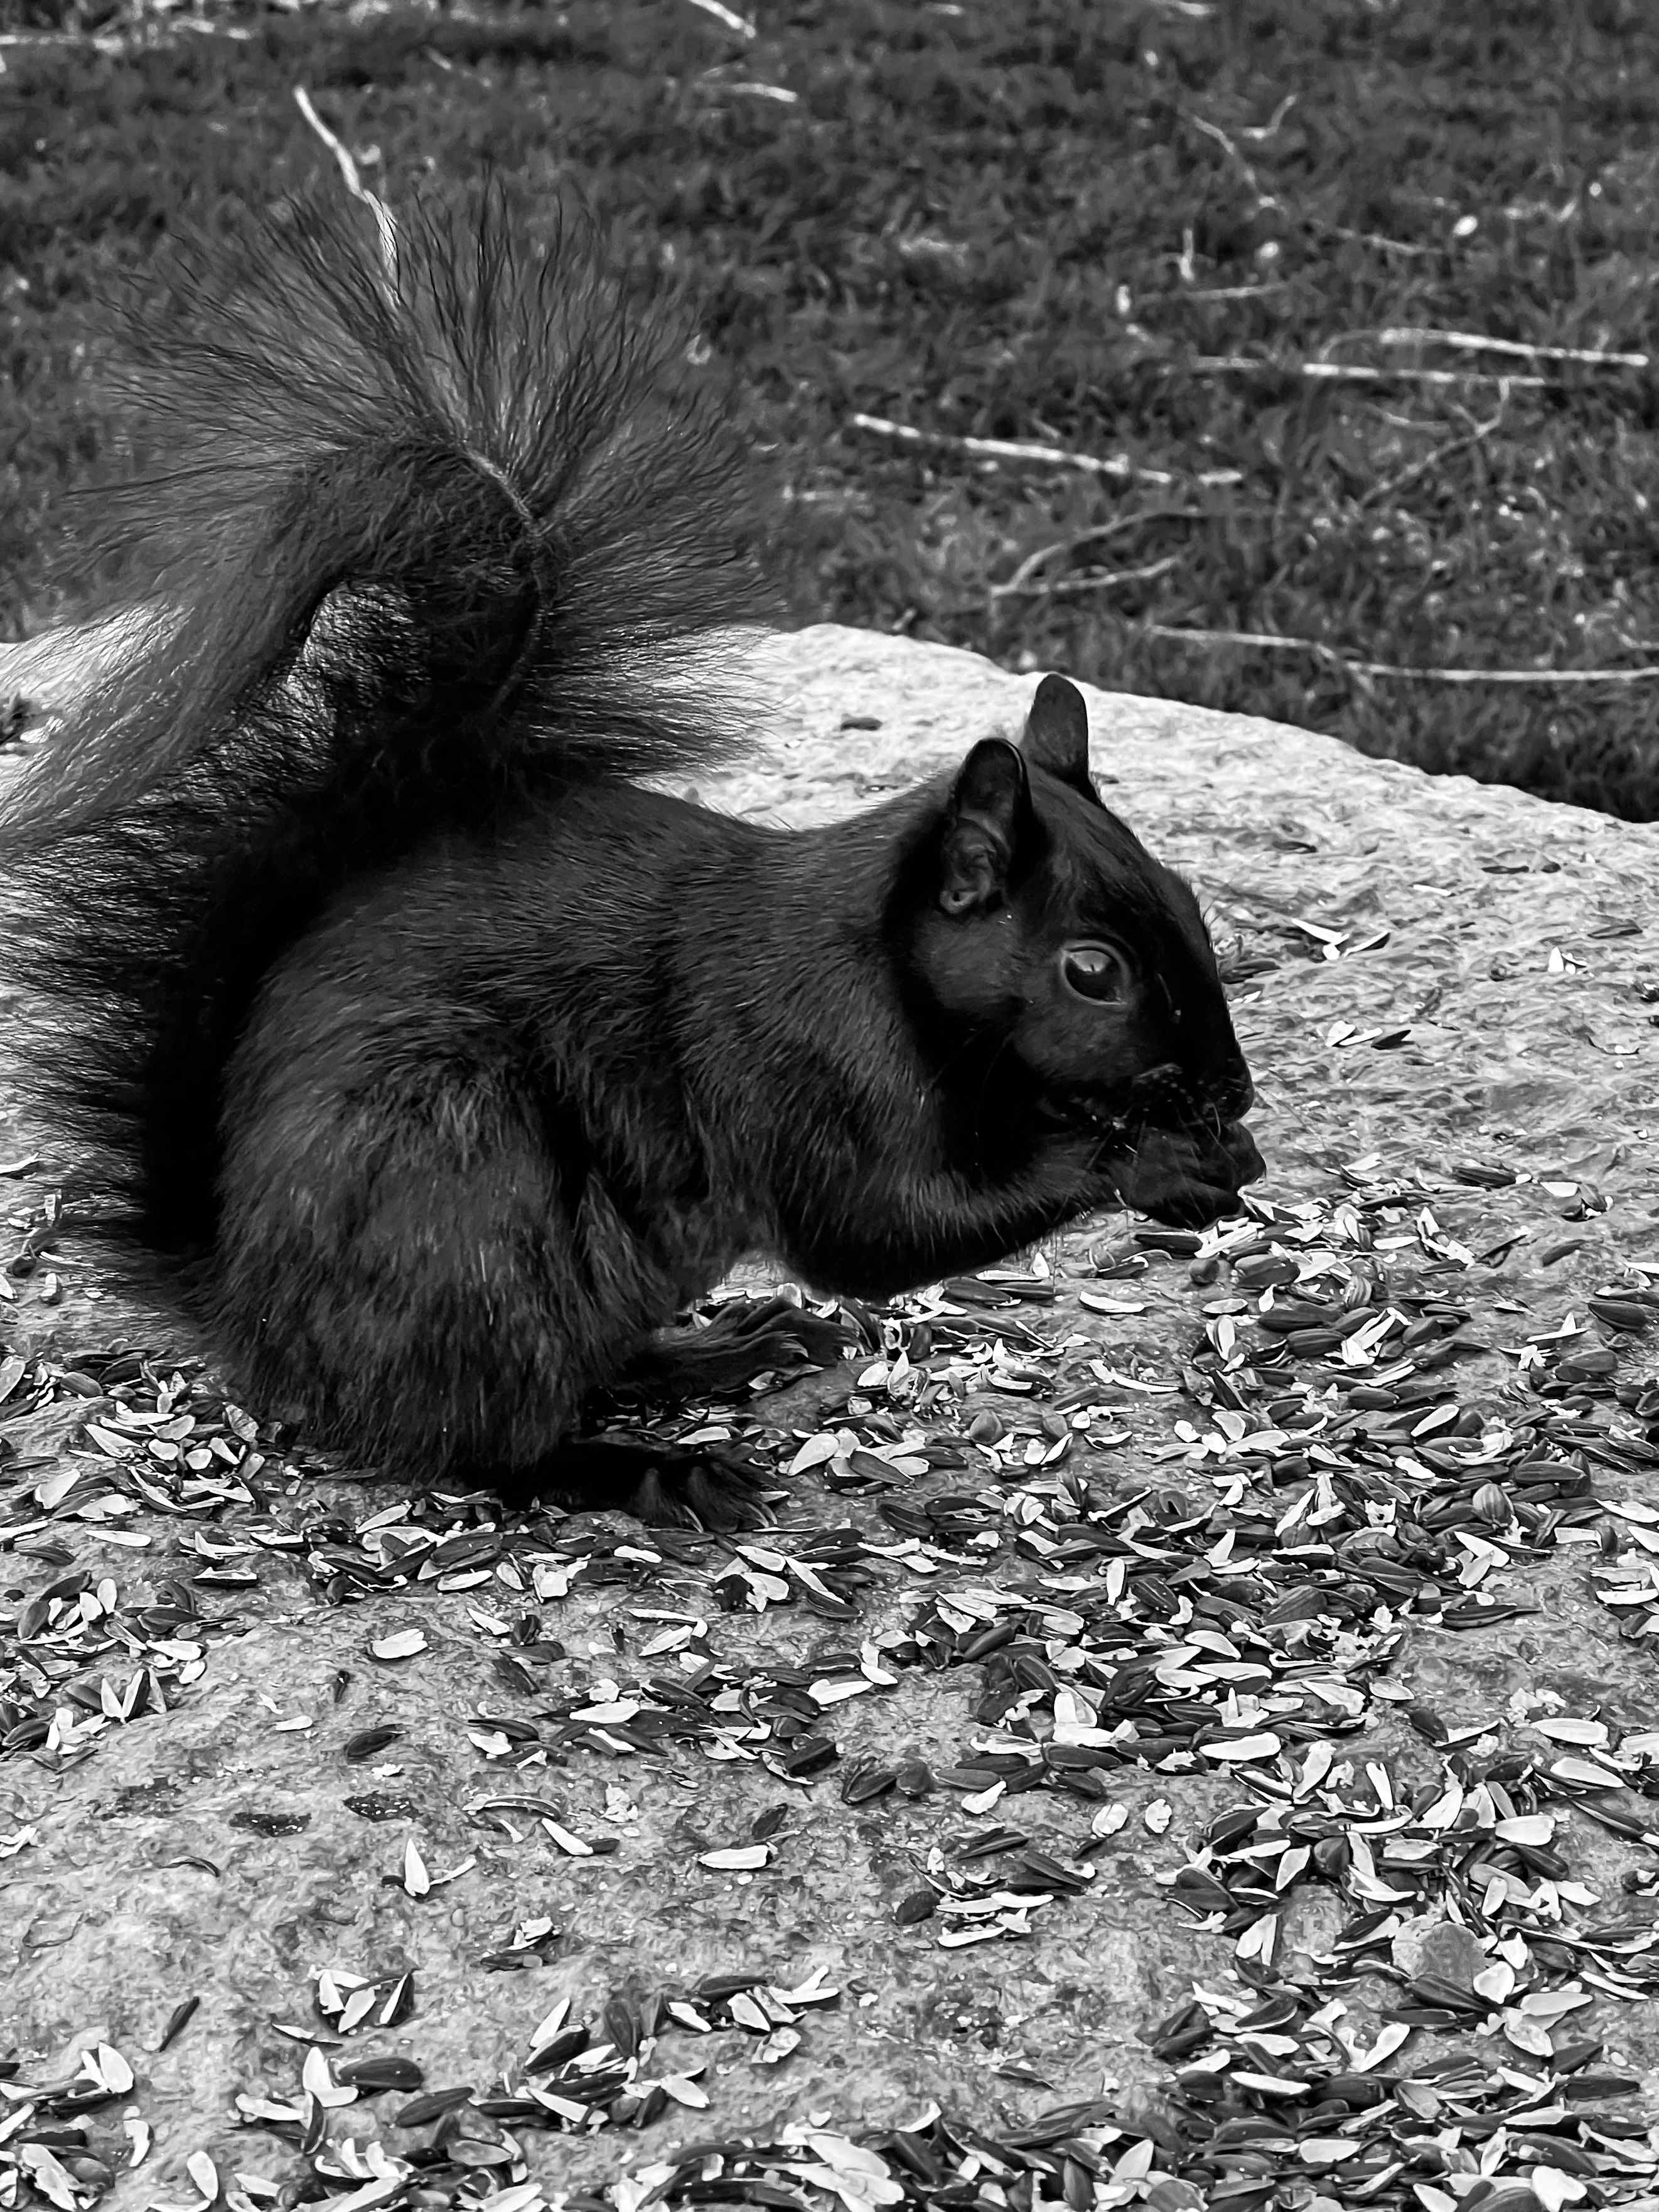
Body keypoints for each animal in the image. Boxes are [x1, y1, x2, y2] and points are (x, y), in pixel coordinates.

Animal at [0, 191, 1262, 1528]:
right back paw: (648, 1463)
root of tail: (254, 1318)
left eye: (1187, 897)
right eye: (1090, 970)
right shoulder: (796, 1059)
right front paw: (1146, 1153)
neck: (887, 960)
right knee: (478, 1440)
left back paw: (721, 1348)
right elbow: (876, 1226)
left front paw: (1197, 1158)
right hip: (466, 1202)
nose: (1233, 1094)